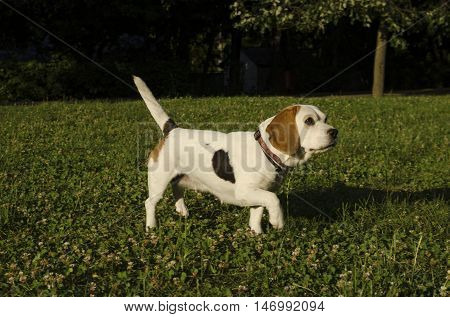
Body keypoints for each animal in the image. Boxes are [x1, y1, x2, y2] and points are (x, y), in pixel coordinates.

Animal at [134, 76, 338, 232]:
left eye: (326, 119)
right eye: (309, 121)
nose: (335, 132)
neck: (264, 151)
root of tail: (172, 130)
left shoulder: (259, 193)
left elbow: (257, 214)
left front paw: (257, 234)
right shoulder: (246, 192)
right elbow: (274, 200)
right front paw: (277, 221)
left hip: (180, 177)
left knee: (177, 188)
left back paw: (182, 210)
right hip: (159, 181)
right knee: (150, 203)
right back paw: (151, 227)